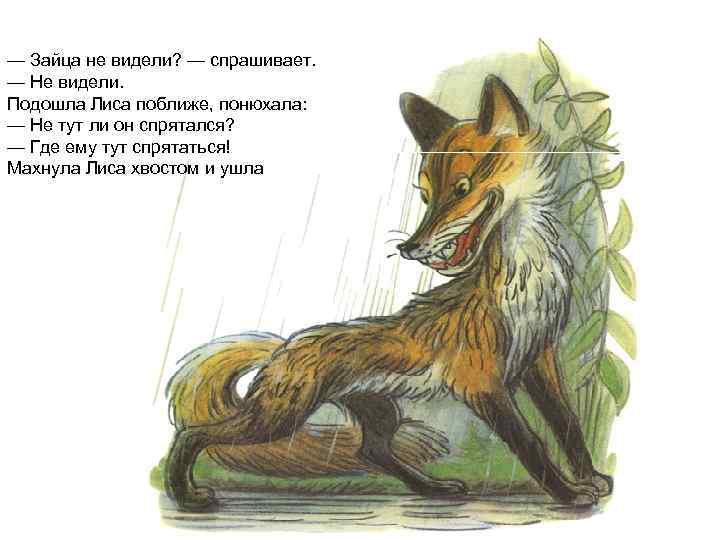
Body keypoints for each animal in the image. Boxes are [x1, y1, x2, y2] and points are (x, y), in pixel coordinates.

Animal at [164, 74, 613, 511]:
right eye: (426, 195)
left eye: (462, 187)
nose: (409, 247)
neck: (527, 278)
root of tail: (283, 346)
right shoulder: (480, 381)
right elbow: (531, 444)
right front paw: (569, 494)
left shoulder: (540, 356)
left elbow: (568, 427)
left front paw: (591, 479)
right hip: (280, 416)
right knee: (194, 434)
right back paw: (188, 495)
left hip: (381, 412)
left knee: (372, 451)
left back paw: (433, 487)